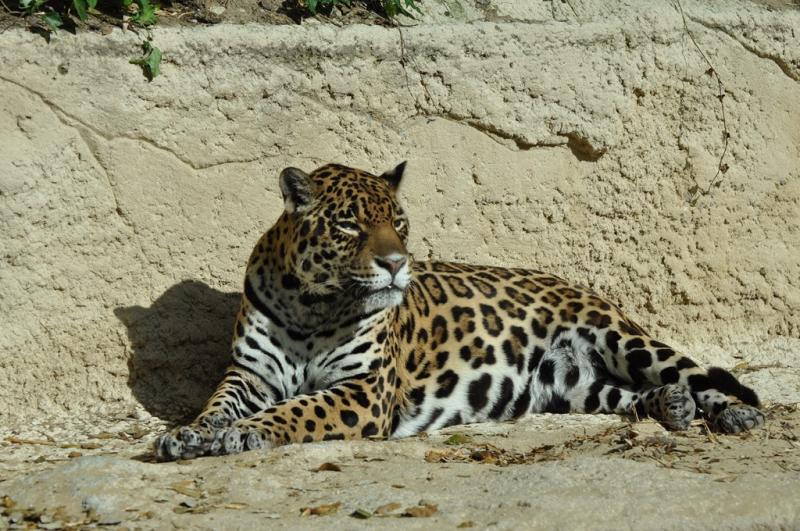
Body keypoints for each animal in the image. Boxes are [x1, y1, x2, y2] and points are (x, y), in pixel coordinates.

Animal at [154, 162, 764, 460]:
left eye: (398, 222)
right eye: (349, 225)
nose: (397, 263)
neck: (312, 306)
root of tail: (566, 279)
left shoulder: (364, 391)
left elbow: (297, 410)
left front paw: (245, 434)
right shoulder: (249, 375)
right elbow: (216, 407)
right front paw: (188, 435)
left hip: (624, 337)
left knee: (699, 375)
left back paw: (734, 414)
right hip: (569, 385)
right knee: (625, 393)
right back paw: (671, 406)